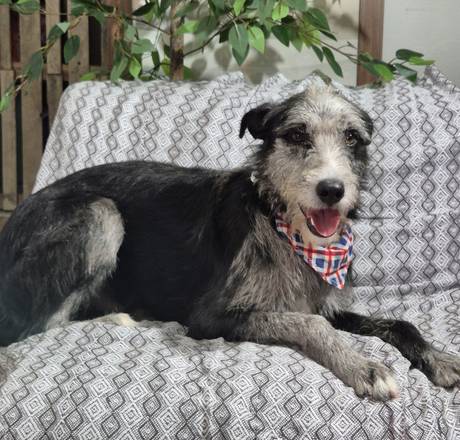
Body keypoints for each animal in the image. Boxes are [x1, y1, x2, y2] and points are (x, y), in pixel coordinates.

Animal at [0, 87, 459, 401]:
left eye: (352, 138)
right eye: (296, 134)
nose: (332, 190)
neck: (284, 229)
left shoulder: (326, 303)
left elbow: (398, 322)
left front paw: (439, 359)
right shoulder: (210, 317)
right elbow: (309, 324)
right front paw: (362, 366)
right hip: (101, 215)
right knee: (36, 326)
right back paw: (119, 318)